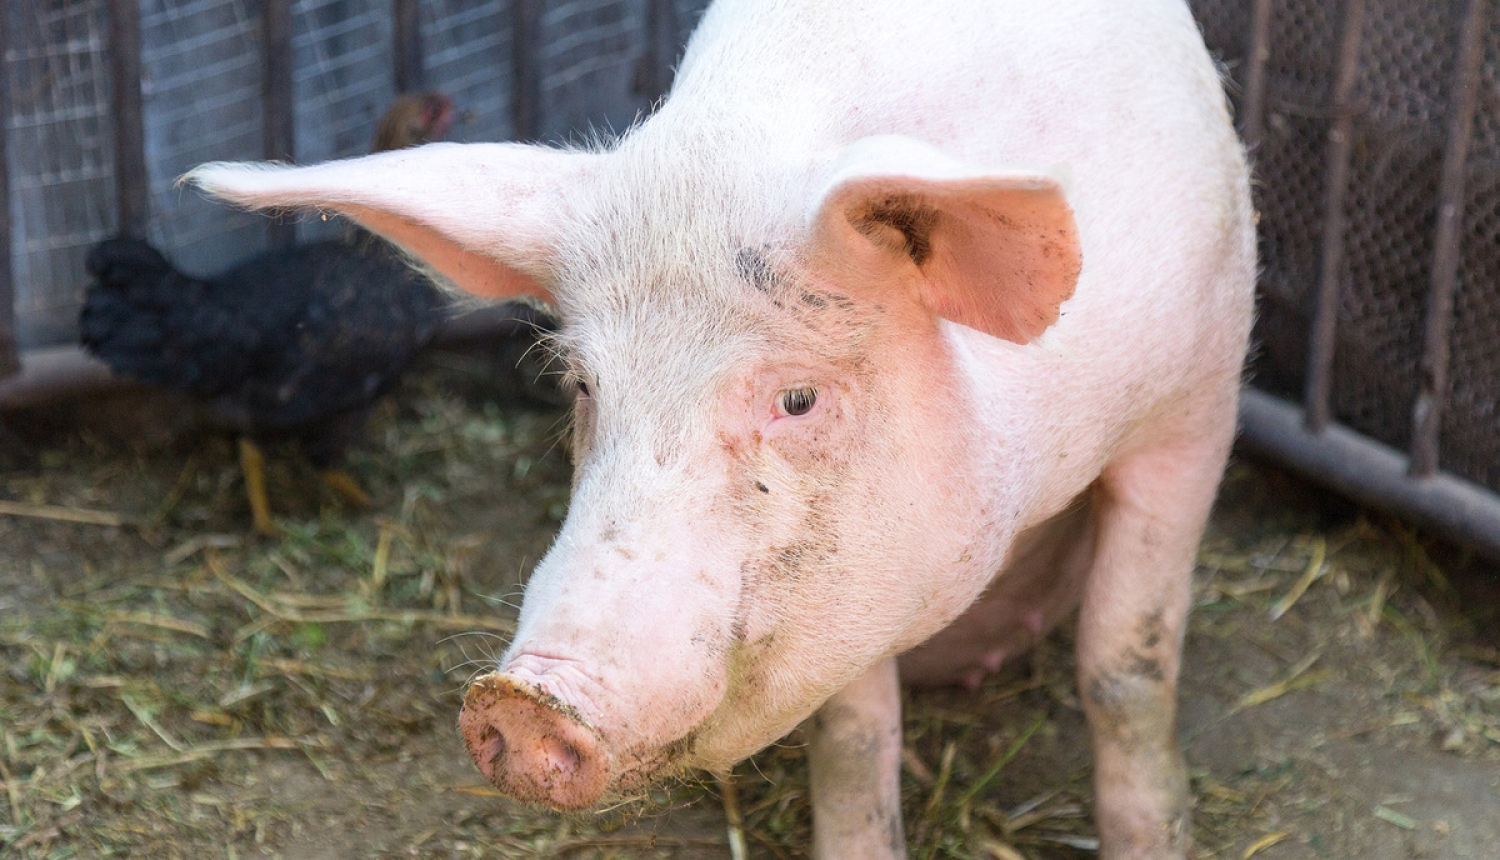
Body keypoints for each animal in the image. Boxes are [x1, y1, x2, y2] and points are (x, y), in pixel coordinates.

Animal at [187, 3, 1254, 852]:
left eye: (798, 401)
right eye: (581, 384)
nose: (523, 700)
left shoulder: (1198, 399)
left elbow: (1126, 670)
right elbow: (855, 740)